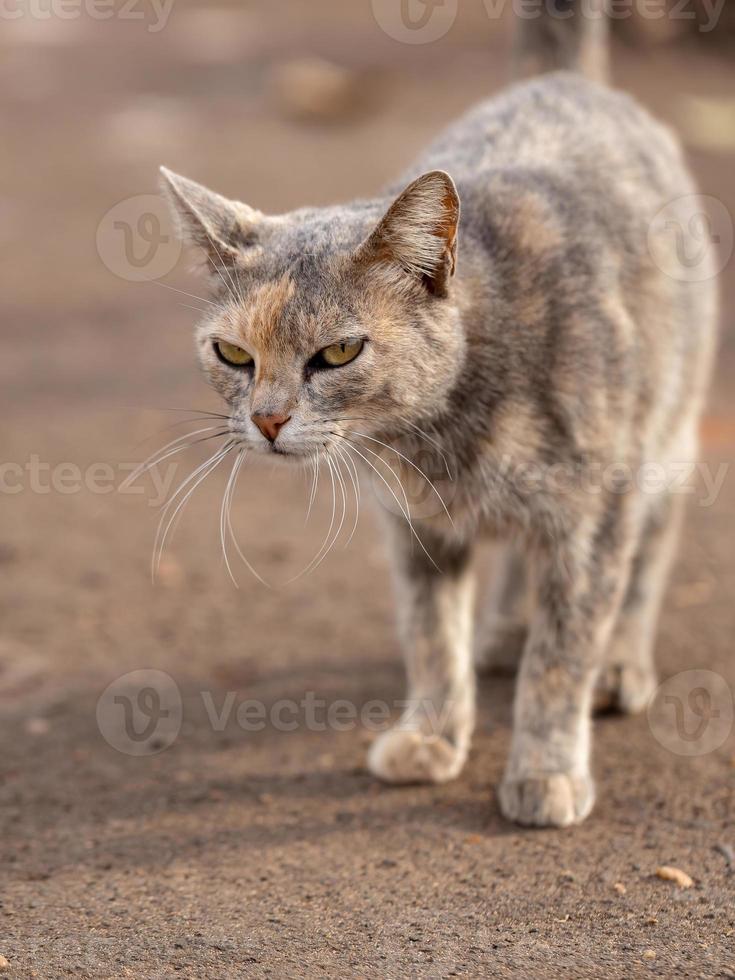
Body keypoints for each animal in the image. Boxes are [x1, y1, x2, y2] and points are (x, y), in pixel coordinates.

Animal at [160, 0, 720, 828]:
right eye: (232, 354)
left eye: (338, 352)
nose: (266, 420)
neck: (437, 439)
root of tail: (565, 80)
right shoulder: (414, 529)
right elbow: (431, 637)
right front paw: (432, 734)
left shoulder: (594, 516)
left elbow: (563, 654)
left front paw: (545, 766)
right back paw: (507, 628)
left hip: (664, 435)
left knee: (647, 551)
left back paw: (619, 659)